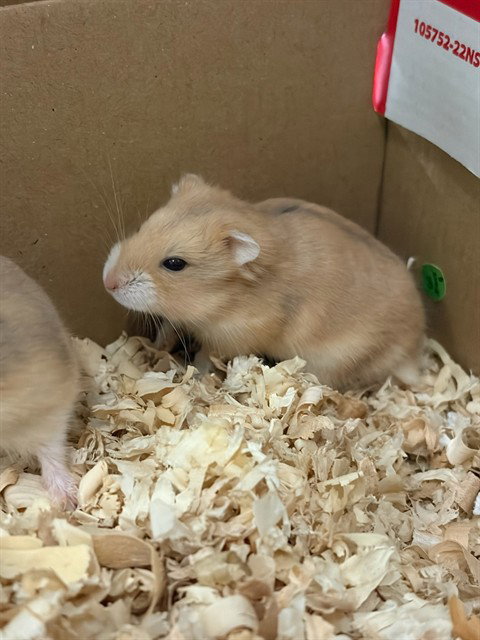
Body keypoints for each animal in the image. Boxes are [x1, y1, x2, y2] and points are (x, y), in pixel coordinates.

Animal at [102, 174, 425, 390]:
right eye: (144, 227)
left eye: (174, 264)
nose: (108, 282)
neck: (218, 301)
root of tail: (415, 350)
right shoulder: (180, 320)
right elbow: (168, 328)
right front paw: (154, 347)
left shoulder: (231, 338)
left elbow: (207, 356)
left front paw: (197, 374)